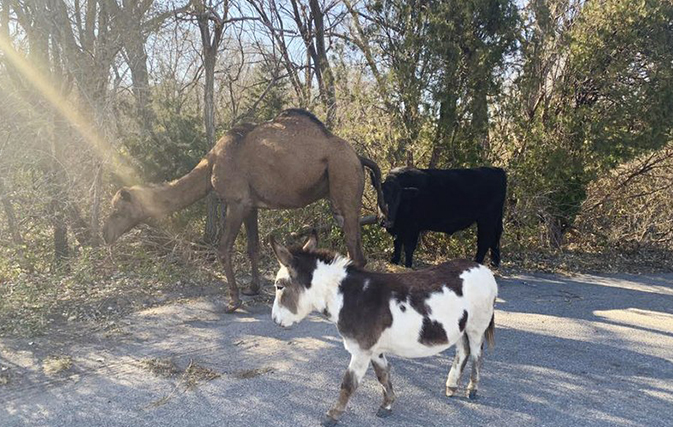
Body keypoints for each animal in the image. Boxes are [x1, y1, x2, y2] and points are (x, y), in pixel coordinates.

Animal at [100, 108, 384, 312]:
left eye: (117, 211)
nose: (104, 234)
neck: (211, 164)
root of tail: (357, 156)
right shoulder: (251, 205)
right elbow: (252, 246)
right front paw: (252, 288)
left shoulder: (235, 202)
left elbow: (224, 247)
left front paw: (233, 301)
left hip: (343, 180)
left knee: (355, 251)